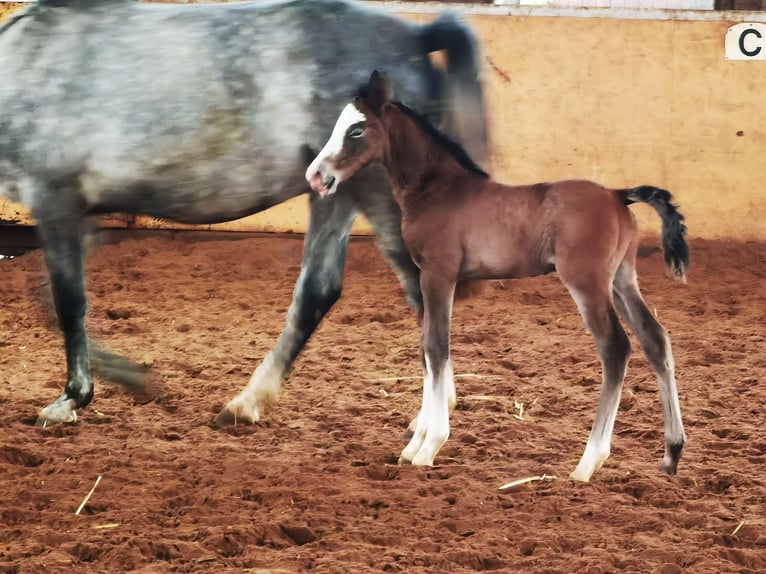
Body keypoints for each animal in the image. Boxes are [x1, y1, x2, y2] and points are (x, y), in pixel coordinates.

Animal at [0, 1, 489, 427]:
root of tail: (416, 36)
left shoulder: (56, 199)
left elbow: (68, 302)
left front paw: (71, 399)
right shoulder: (83, 213)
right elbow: (49, 301)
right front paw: (136, 380)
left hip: (378, 197)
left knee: (421, 292)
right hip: (334, 193)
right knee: (319, 290)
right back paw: (248, 403)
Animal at [306, 71, 689, 482]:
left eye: (356, 130)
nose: (316, 176)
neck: (437, 190)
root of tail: (619, 195)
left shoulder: (438, 275)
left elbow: (436, 348)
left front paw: (429, 446)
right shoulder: (426, 279)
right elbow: (427, 347)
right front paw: (414, 444)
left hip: (587, 283)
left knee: (615, 349)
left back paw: (588, 463)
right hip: (621, 279)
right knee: (655, 339)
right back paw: (671, 453)